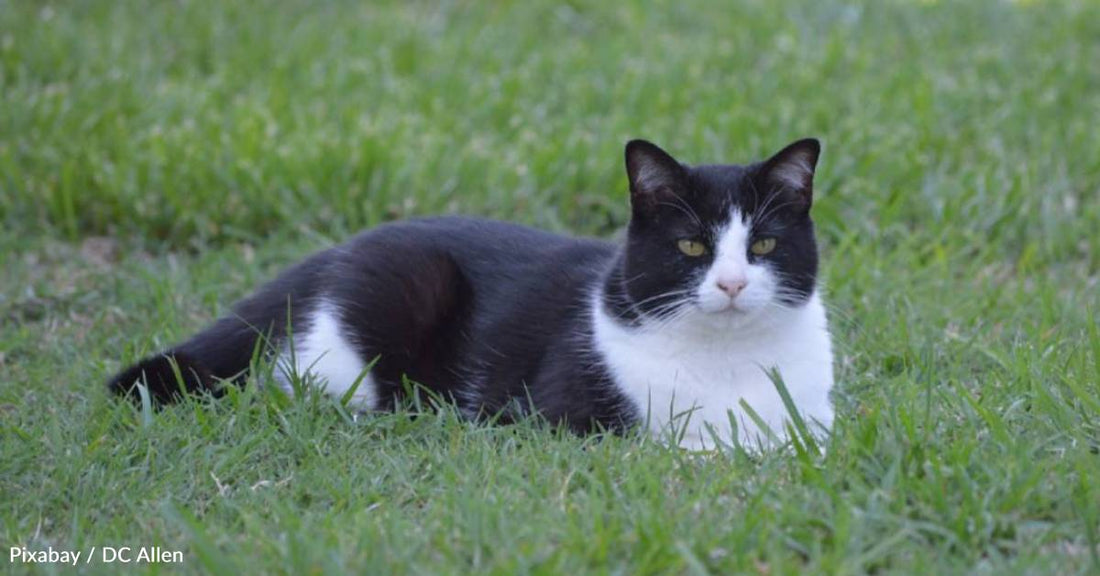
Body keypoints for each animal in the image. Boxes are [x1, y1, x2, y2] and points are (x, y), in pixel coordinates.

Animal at [109, 139, 831, 450]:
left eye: (764, 246)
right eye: (691, 249)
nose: (733, 283)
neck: (726, 362)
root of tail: (341, 248)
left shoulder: (812, 421)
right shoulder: (561, 414)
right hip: (387, 314)